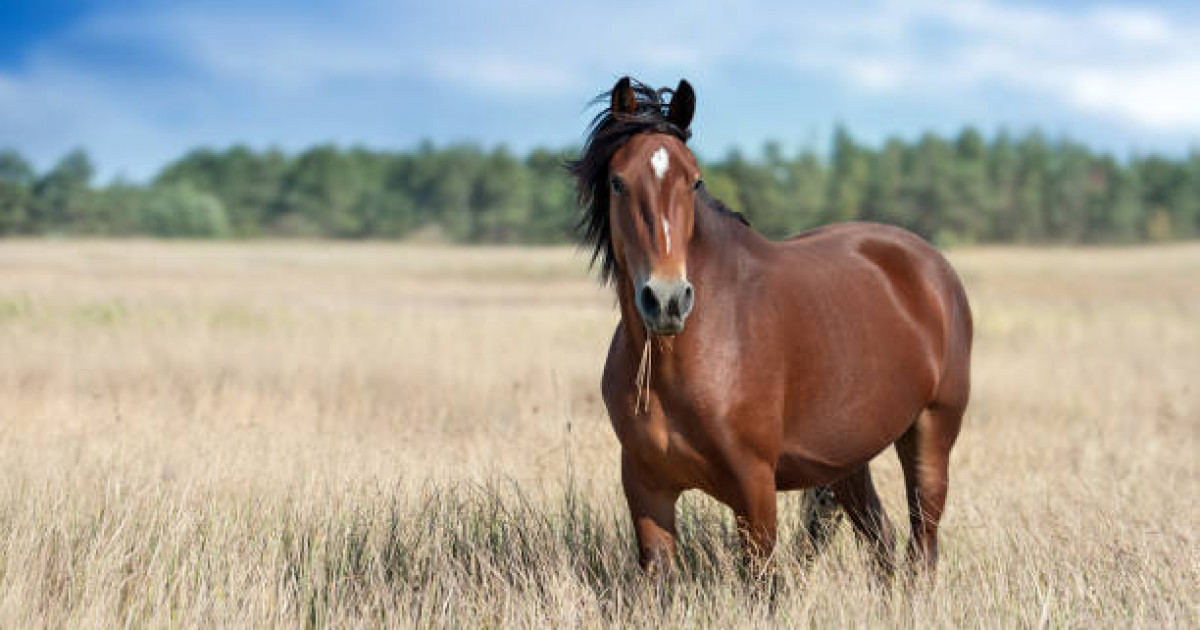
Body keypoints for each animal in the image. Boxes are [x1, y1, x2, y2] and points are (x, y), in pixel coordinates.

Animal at [568, 76, 974, 578]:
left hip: (931, 433)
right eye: (618, 182)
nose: (666, 300)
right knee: (881, 540)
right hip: (848, 459)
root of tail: (933, 266)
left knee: (922, 545)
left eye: (694, 180)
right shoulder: (647, 488)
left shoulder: (754, 487)